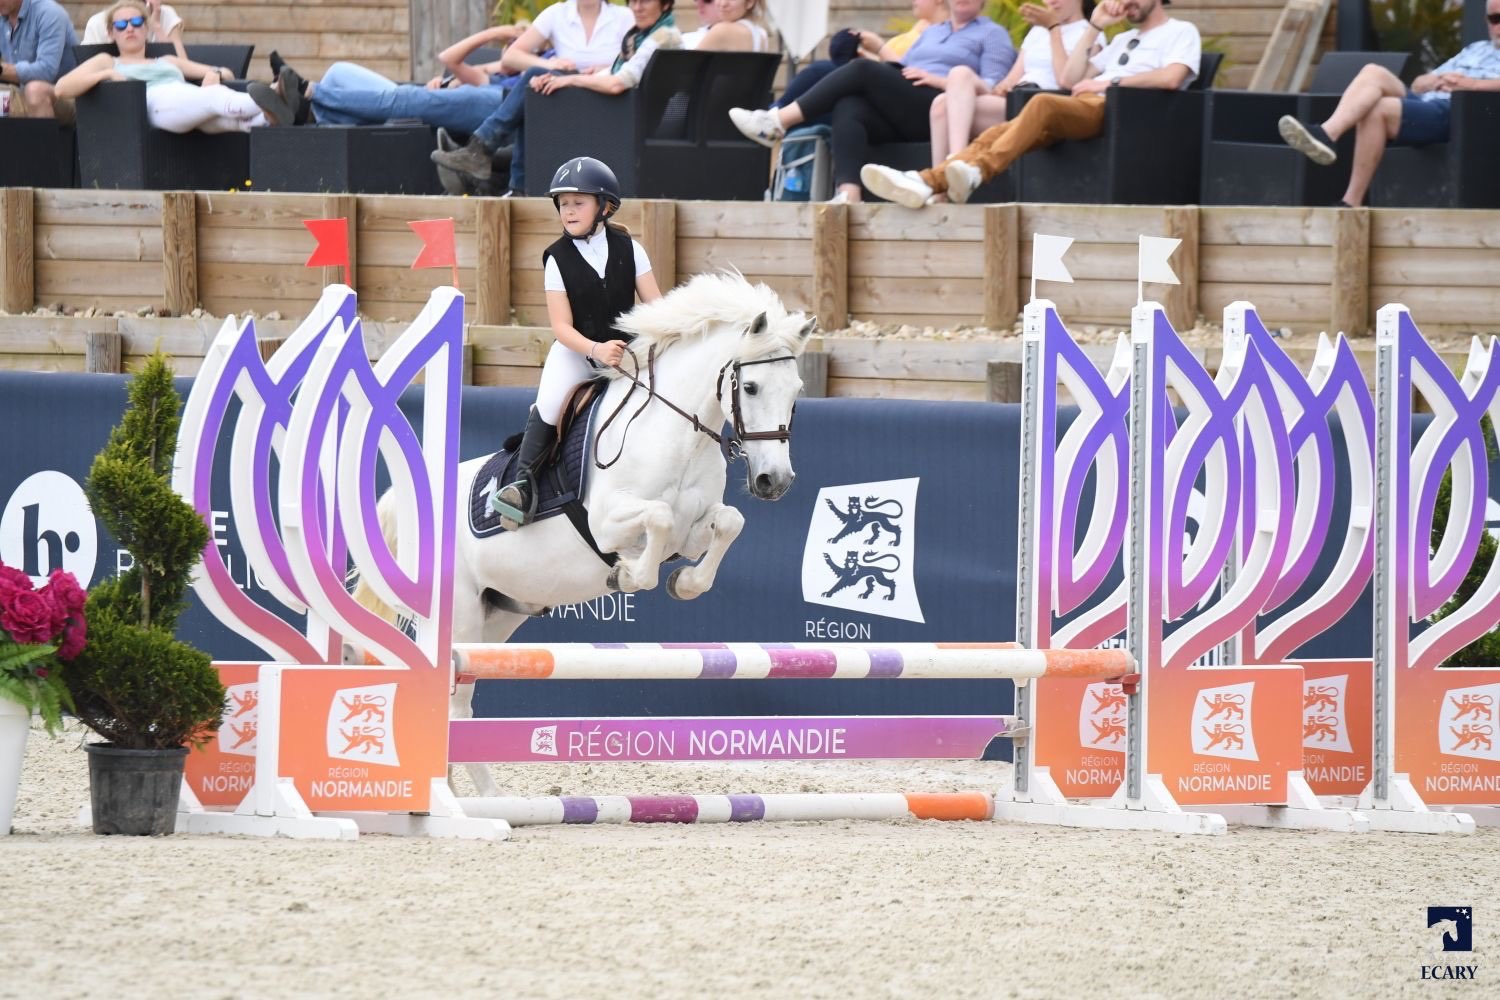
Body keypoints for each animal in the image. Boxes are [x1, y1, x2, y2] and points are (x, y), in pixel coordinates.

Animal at [352, 269, 816, 791]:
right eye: (751, 387)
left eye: (796, 391)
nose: (774, 481)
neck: (678, 436)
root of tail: (410, 507)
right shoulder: (610, 522)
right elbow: (657, 520)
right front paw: (628, 576)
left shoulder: (692, 529)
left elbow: (727, 524)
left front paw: (684, 583)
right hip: (460, 617)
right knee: (454, 706)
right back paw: (478, 796)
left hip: (497, 618)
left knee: (458, 703)